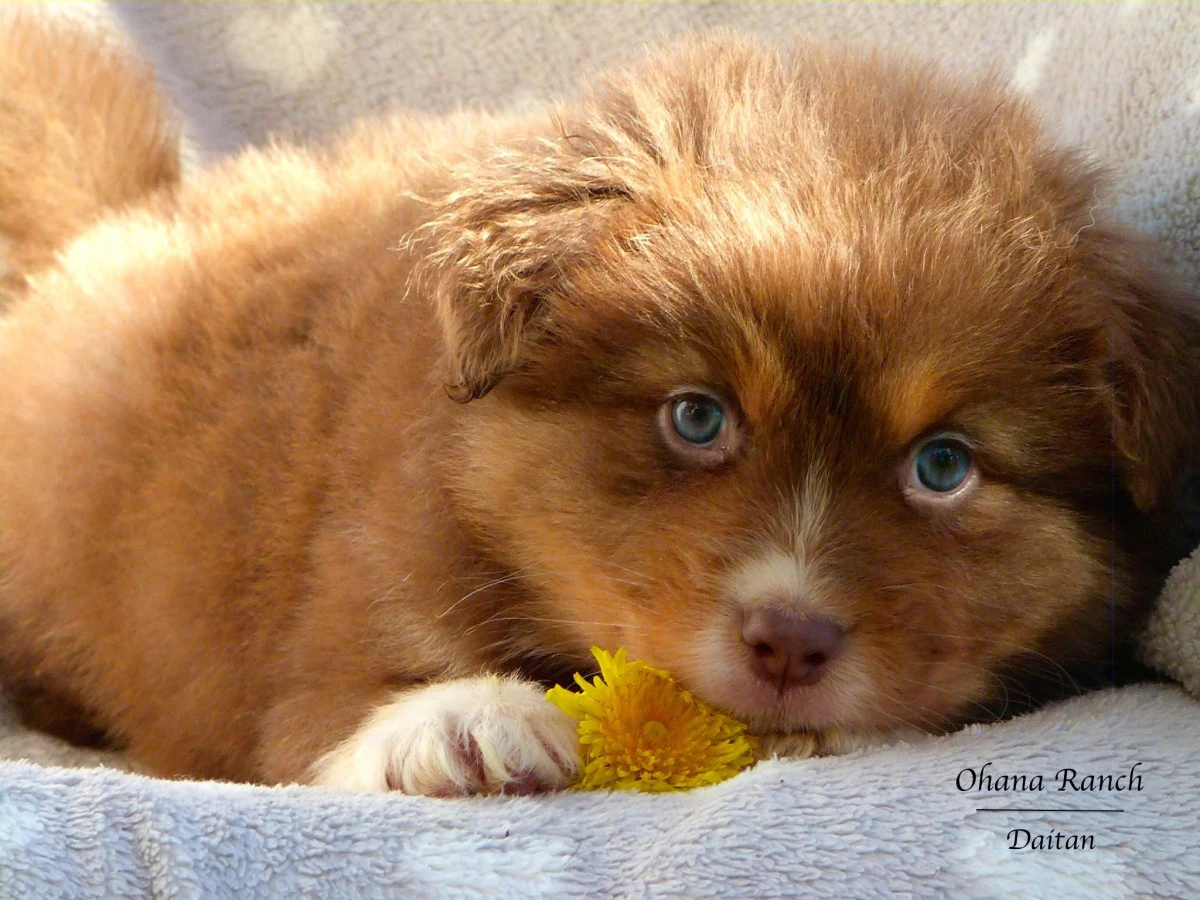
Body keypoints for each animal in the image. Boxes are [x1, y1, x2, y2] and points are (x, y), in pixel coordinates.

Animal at [2, 17, 1200, 796]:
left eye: (942, 466)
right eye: (698, 418)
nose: (789, 641)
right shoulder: (340, 600)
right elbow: (327, 718)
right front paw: (464, 723)